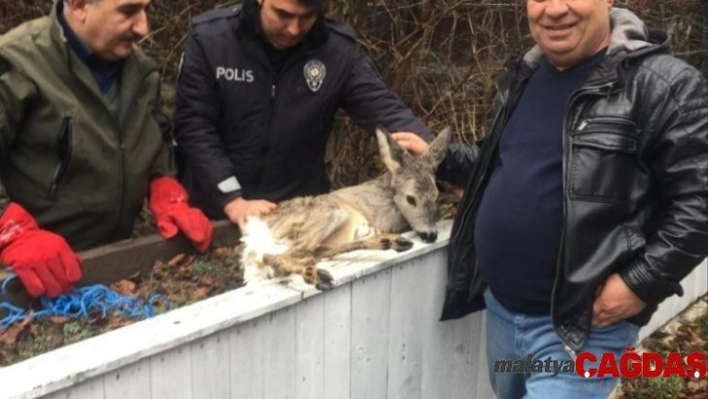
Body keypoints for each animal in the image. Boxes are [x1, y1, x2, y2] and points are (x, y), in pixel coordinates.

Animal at [241, 127, 450, 290]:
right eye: (410, 198)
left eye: (436, 196)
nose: (431, 235)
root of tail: (253, 235)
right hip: (328, 213)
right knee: (276, 255)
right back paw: (316, 275)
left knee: (312, 251)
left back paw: (386, 242)